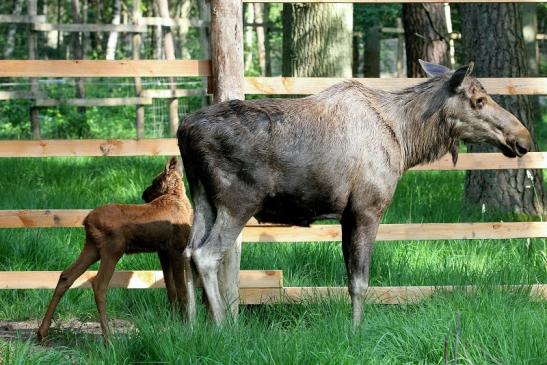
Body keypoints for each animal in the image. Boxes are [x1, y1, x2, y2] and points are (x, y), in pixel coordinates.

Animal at [37, 156, 193, 342]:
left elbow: (171, 289)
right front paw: (186, 326)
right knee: (99, 284)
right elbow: (182, 290)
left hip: (92, 247)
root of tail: (87, 221)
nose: (143, 194)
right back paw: (108, 339)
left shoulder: (162, 250)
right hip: (113, 249)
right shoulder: (176, 247)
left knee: (67, 275)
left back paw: (42, 331)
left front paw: (174, 323)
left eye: (154, 182)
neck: (177, 199)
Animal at [178, 61, 532, 326]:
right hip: (238, 201)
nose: (524, 138)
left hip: (202, 199)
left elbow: (349, 281)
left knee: (187, 251)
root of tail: (183, 130)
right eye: (478, 100)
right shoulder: (367, 209)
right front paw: (357, 331)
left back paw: (193, 326)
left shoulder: (347, 215)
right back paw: (223, 327)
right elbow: (361, 283)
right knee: (205, 255)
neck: (407, 141)